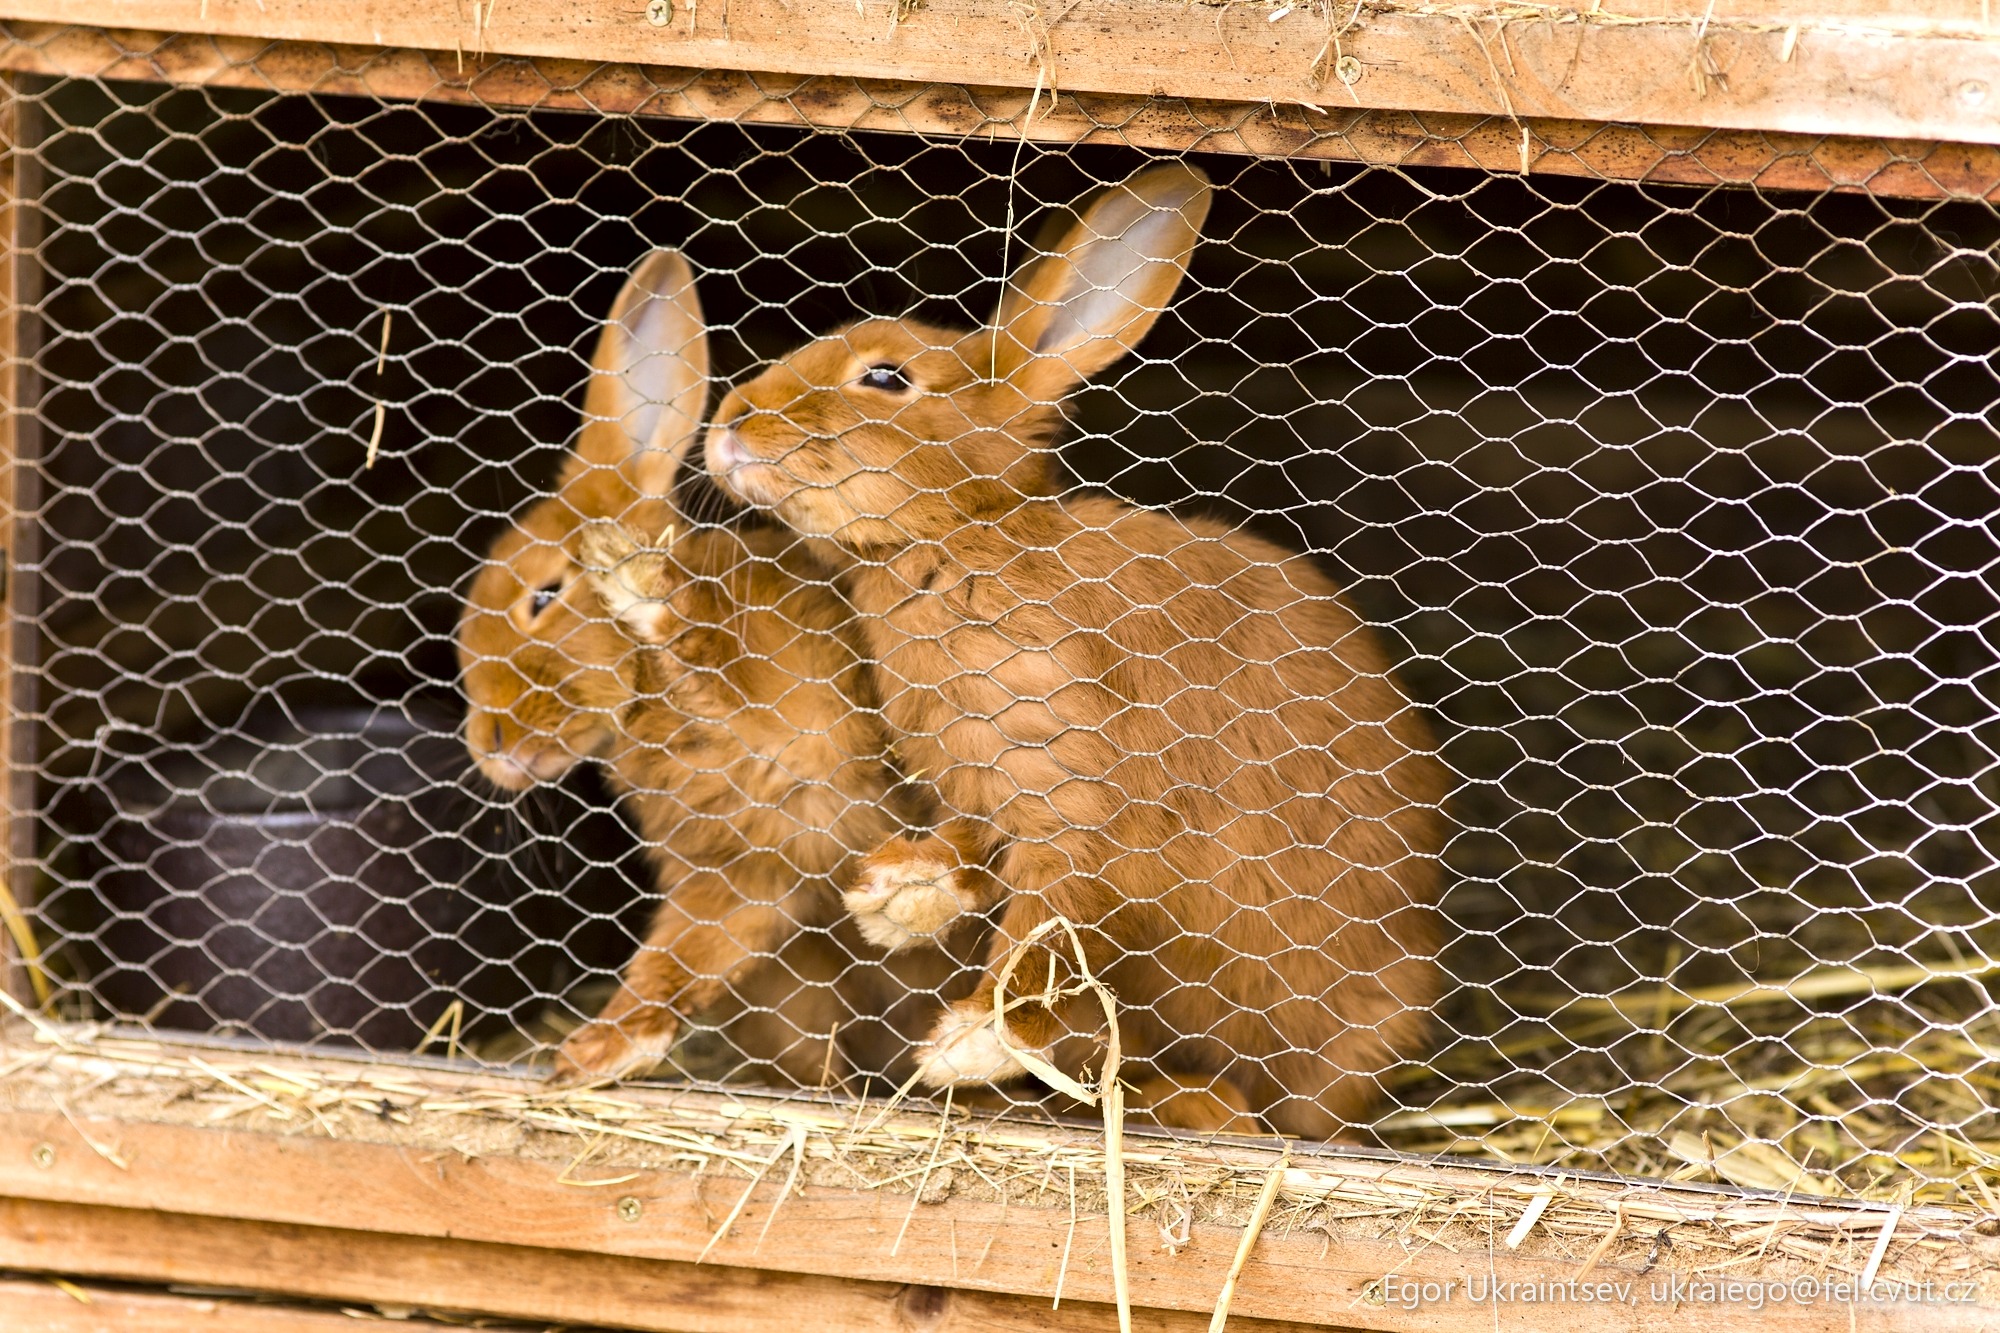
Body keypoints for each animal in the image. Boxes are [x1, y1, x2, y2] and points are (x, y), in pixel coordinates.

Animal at [457, 249, 973, 1088]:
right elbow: (678, 959)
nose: (487, 746)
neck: (648, 703)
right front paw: (595, 1052)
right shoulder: (737, 877)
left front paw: (633, 577)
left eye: (545, 594)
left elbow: (699, 639)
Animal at [701, 164, 1449, 1139]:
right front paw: (894, 900)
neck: (962, 539)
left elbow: (1044, 933)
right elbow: (968, 857)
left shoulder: (1079, 809)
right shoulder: (986, 792)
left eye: (887, 376)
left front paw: (964, 1046)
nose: (729, 422)